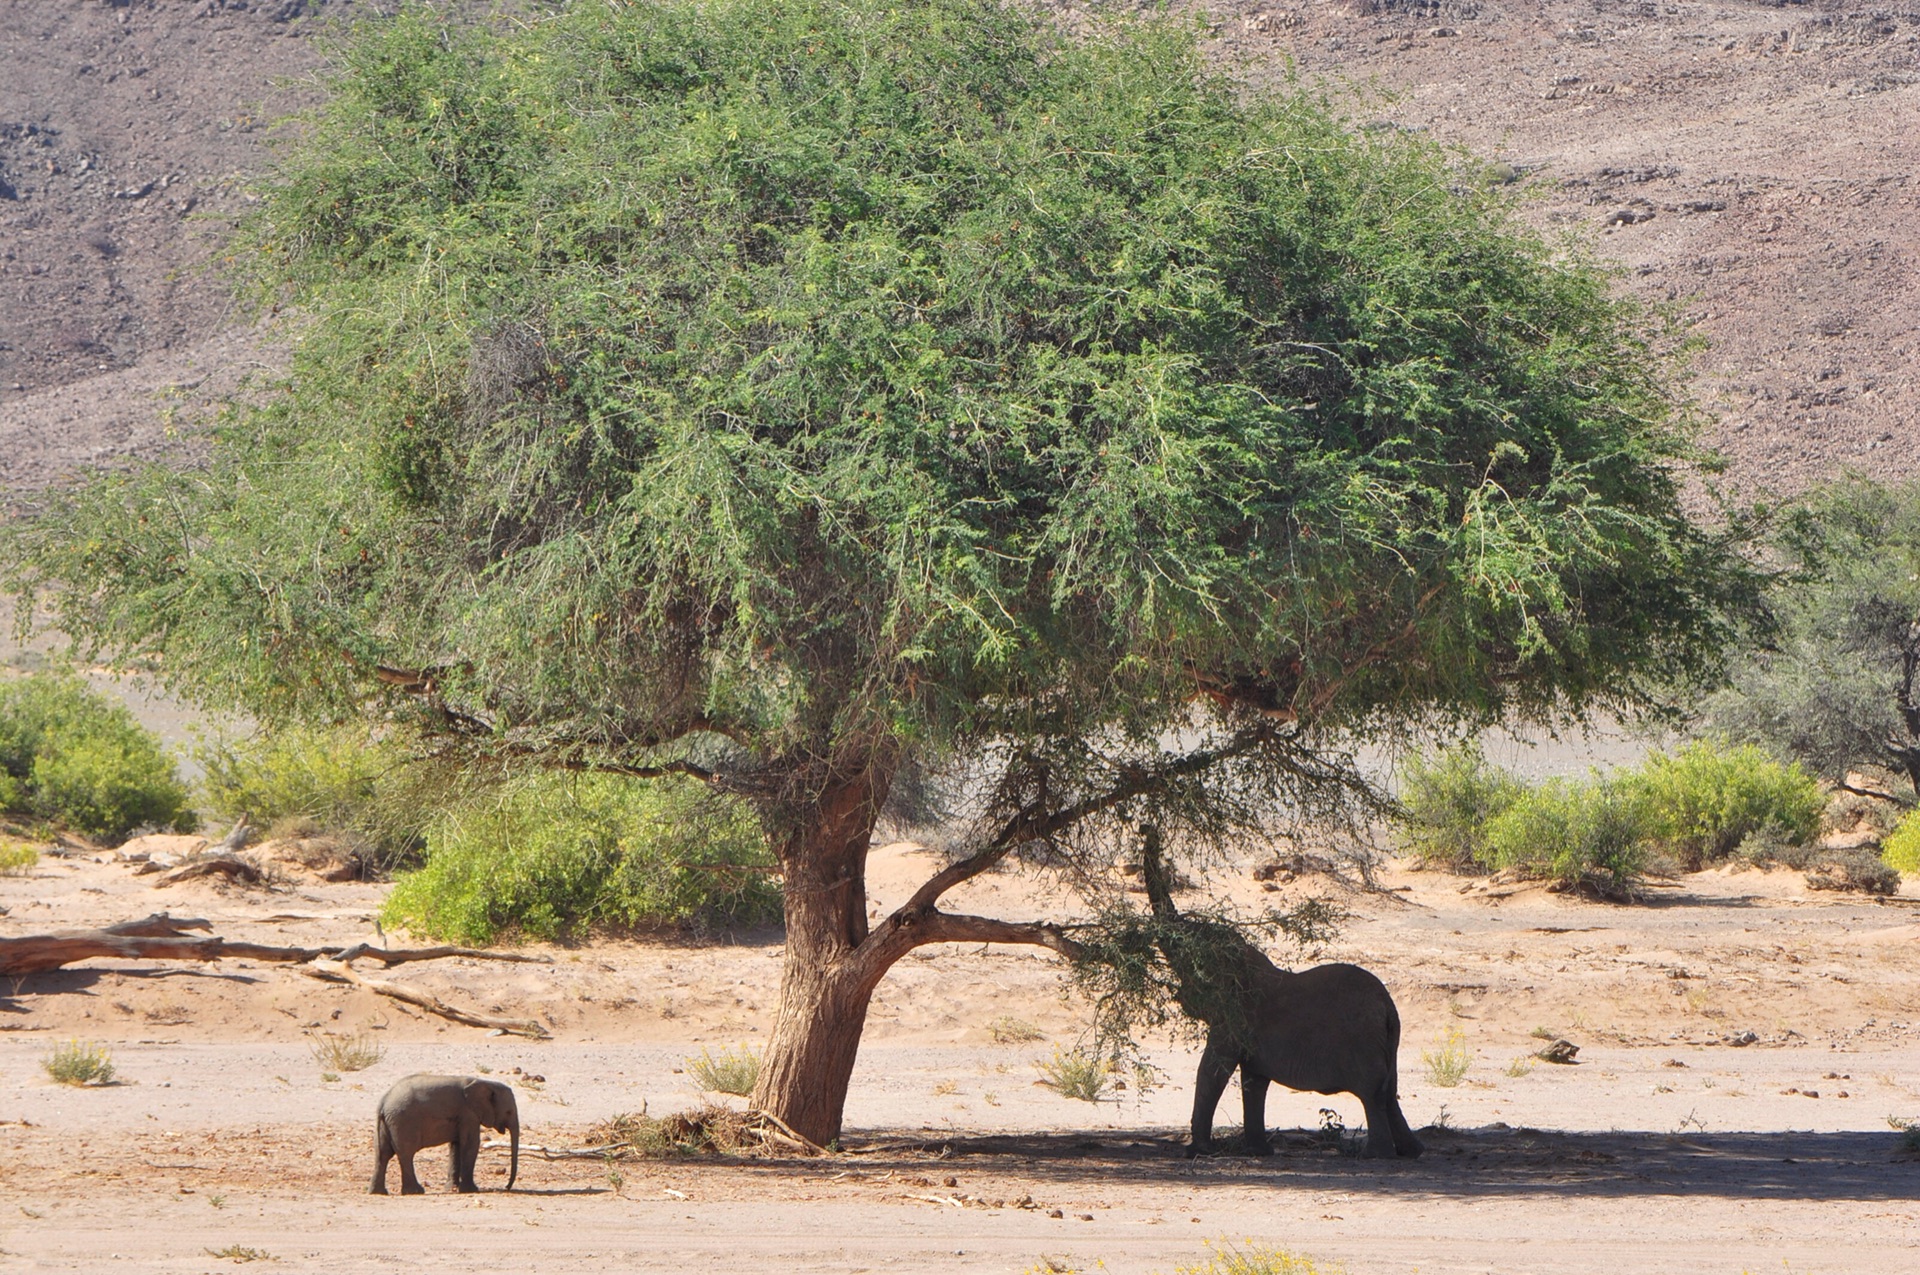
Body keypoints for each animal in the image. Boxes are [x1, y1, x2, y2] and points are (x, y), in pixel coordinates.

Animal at [364, 1075, 518, 1198]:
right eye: (509, 1112)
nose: (506, 1187)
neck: (486, 1082)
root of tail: (384, 1102)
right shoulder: (468, 1114)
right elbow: (471, 1144)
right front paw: (472, 1190)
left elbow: (456, 1146)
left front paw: (452, 1188)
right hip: (403, 1122)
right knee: (405, 1154)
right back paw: (416, 1191)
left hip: (386, 1124)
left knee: (382, 1155)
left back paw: (378, 1193)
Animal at [1136, 833, 1428, 1159]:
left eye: (1188, 960)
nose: (1147, 827)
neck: (1244, 965)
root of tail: (1388, 1007)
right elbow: (1253, 1081)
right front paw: (1258, 1152)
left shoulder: (1234, 1019)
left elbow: (1213, 1070)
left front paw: (1197, 1152)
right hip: (1389, 1043)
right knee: (1389, 1092)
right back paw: (1412, 1151)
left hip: (1363, 1043)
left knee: (1372, 1092)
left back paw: (1375, 1155)